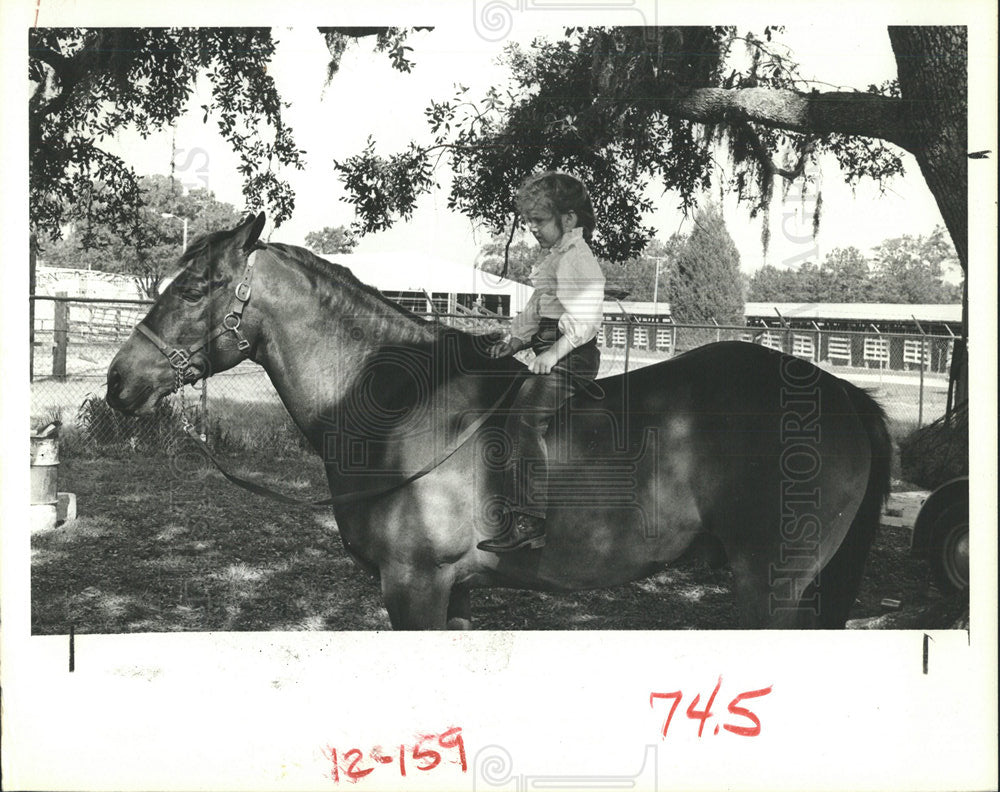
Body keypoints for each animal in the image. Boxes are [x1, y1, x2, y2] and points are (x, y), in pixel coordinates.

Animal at [107, 213, 892, 628]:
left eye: (197, 289)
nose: (120, 382)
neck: (397, 409)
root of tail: (839, 394)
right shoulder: (450, 596)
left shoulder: (414, 587)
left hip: (772, 588)